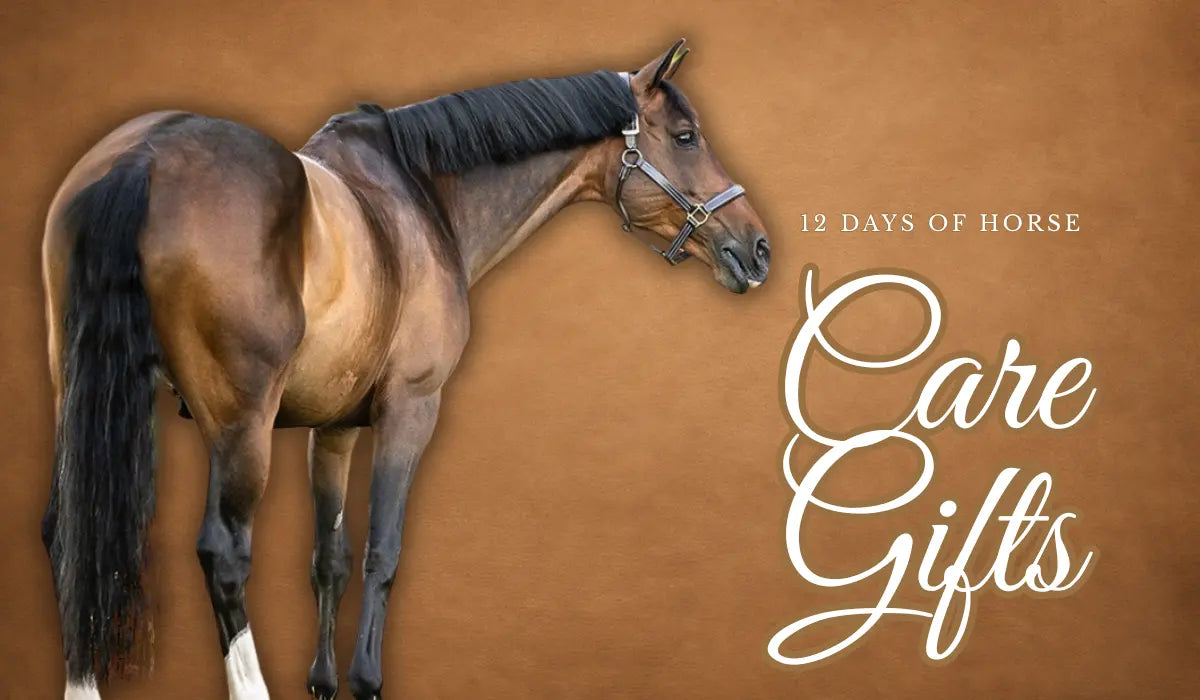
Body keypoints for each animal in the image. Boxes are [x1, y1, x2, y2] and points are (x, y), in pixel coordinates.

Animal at [40, 38, 770, 700]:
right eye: (685, 136)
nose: (757, 247)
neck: (420, 198)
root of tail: (144, 156)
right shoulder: (411, 410)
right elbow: (382, 550)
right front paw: (365, 681)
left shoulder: (332, 429)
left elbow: (330, 558)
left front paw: (325, 682)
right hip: (239, 425)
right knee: (223, 551)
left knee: (68, 535)